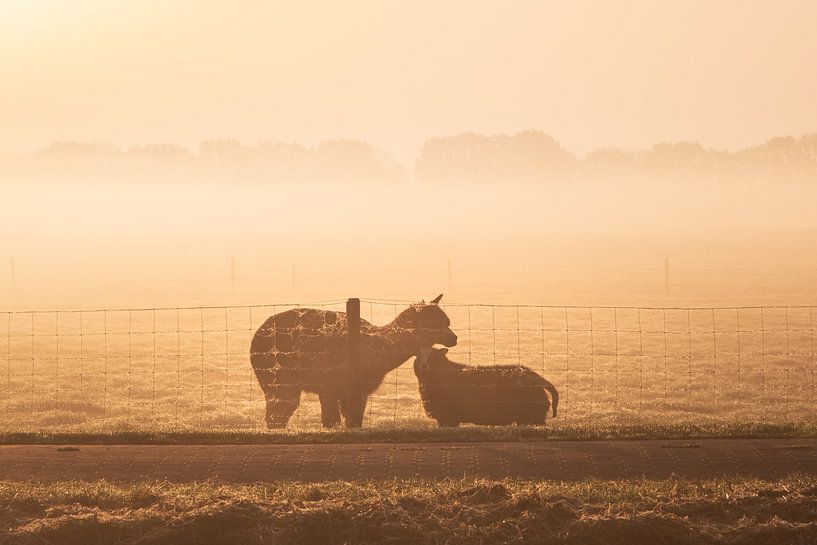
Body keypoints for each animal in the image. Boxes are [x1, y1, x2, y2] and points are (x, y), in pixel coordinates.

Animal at [249, 296, 456, 428]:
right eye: (435, 324)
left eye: (447, 322)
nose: (454, 338)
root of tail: (257, 335)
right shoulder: (330, 385)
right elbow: (332, 421)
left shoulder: (357, 391)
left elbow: (352, 420)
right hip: (279, 377)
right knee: (279, 411)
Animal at [414, 346, 556, 428]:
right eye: (418, 356)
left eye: (433, 356)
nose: (424, 366)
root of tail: (536, 377)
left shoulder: (448, 418)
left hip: (533, 417)